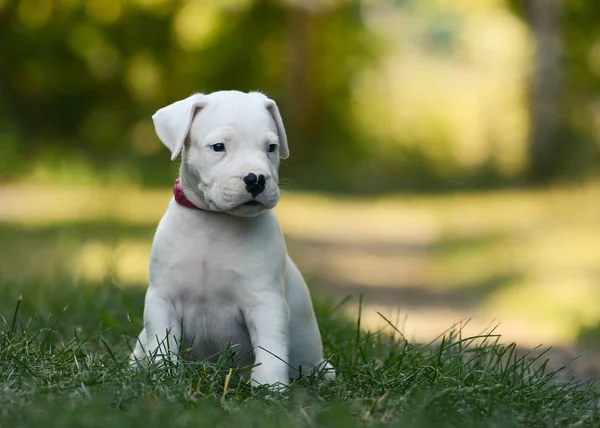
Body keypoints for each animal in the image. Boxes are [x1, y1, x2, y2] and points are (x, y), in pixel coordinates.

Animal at [131, 90, 336, 388]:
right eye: (218, 147)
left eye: (271, 147)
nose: (256, 179)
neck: (216, 222)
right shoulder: (163, 299)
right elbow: (163, 344)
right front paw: (163, 376)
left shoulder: (265, 303)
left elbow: (271, 350)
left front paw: (270, 387)